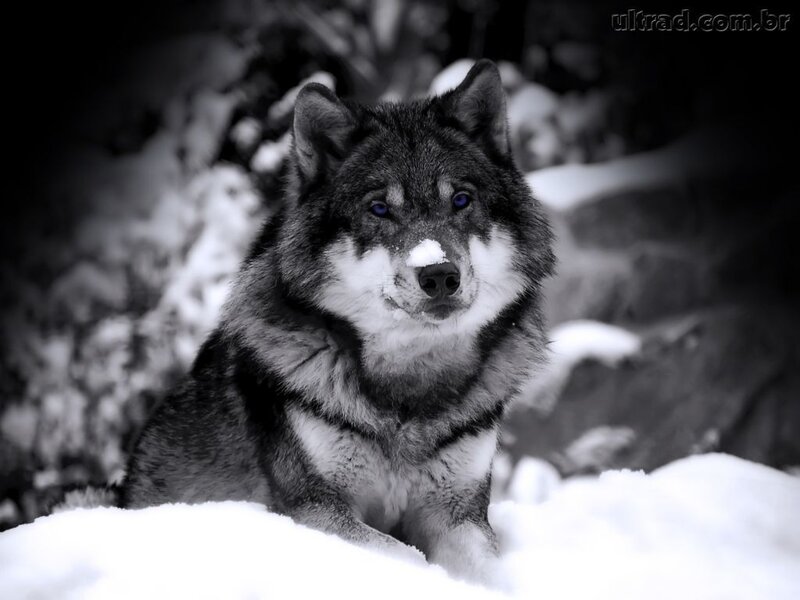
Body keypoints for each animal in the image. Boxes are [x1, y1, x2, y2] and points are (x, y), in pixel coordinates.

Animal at [121, 60, 554, 584]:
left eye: (461, 201)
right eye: (379, 209)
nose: (438, 274)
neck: (409, 391)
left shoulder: (459, 514)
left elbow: (490, 571)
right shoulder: (314, 509)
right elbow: (404, 555)